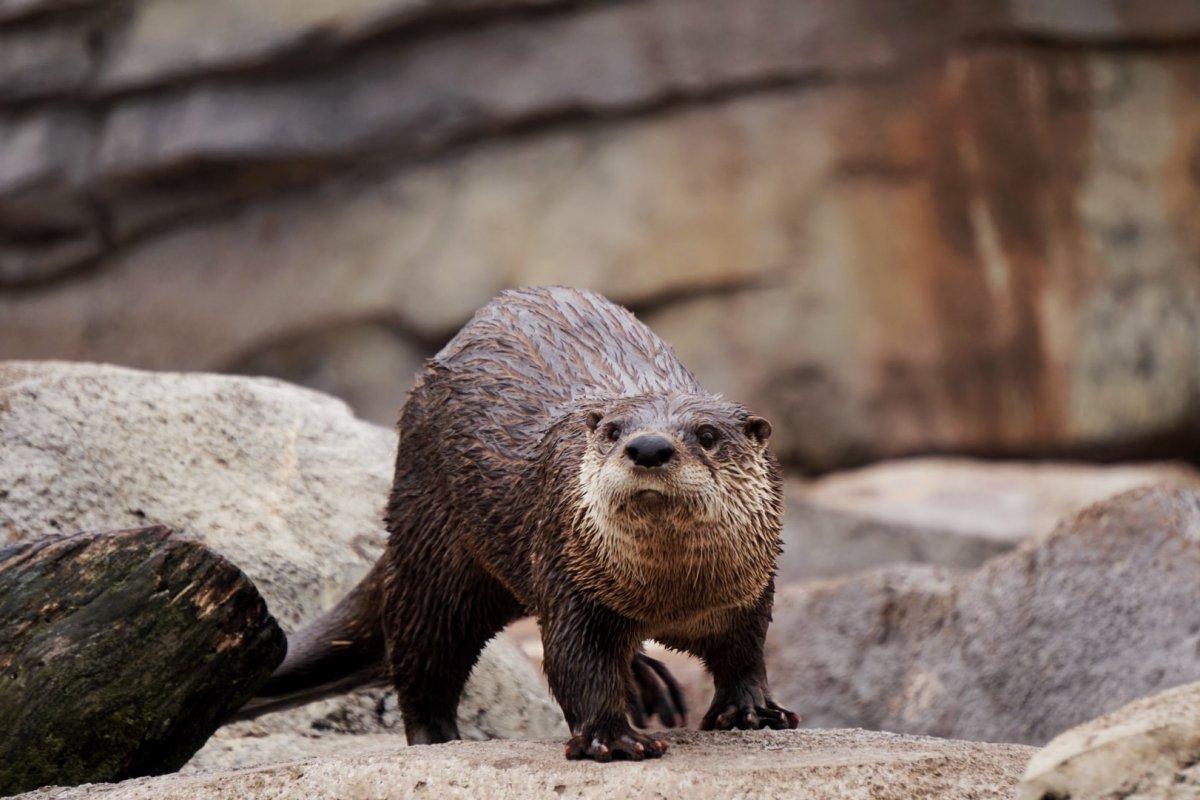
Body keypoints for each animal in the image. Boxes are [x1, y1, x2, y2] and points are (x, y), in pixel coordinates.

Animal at [243, 289, 796, 762]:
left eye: (707, 434)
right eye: (613, 431)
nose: (648, 447)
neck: (670, 597)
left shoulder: (751, 590)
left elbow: (745, 652)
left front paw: (753, 710)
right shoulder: (570, 578)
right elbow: (577, 663)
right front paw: (611, 738)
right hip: (434, 549)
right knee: (422, 653)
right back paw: (437, 739)